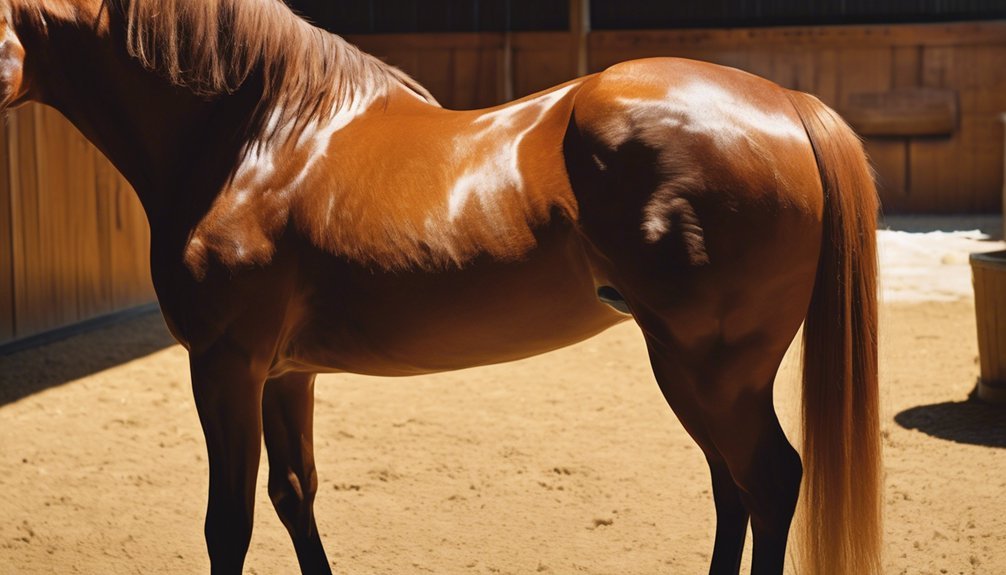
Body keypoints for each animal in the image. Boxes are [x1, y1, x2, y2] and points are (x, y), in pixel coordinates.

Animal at [0, 1, 881, 575]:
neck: (261, 138)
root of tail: (786, 103)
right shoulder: (284, 373)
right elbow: (295, 495)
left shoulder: (225, 365)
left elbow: (230, 525)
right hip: (695, 372)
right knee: (732, 488)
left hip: (713, 369)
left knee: (768, 482)